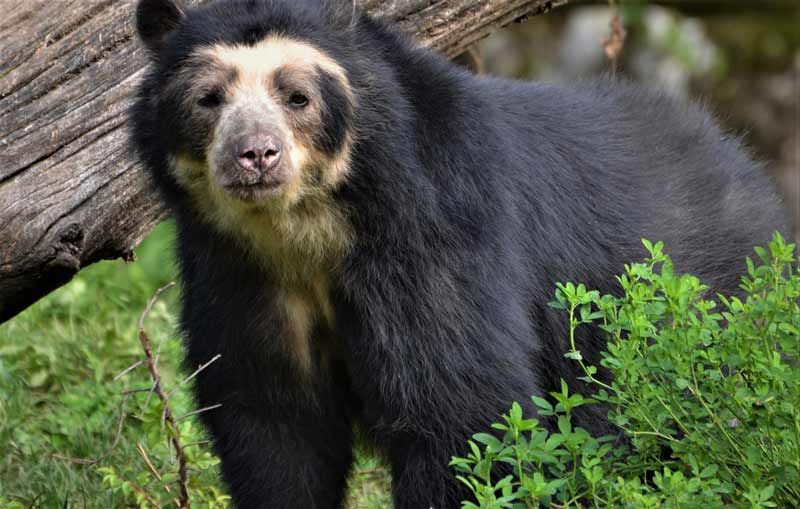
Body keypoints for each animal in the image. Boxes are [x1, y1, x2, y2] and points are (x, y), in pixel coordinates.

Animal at [130, 0, 788, 507]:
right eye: (208, 99)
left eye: (297, 97)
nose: (255, 155)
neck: (307, 233)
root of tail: (744, 164)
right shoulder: (237, 274)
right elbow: (272, 427)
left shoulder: (434, 243)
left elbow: (464, 411)